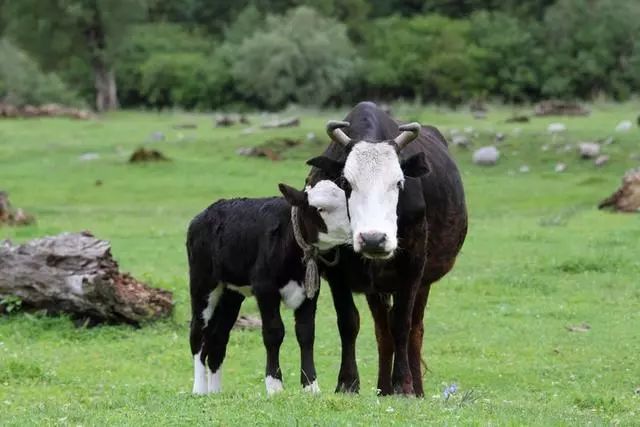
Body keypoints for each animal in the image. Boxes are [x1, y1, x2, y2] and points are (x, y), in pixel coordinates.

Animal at [188, 180, 352, 394]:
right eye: (320, 209)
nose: (355, 230)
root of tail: (206, 213)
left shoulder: (310, 291)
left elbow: (306, 333)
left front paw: (311, 386)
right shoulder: (265, 289)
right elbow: (274, 333)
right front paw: (274, 386)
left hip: (231, 293)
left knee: (218, 338)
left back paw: (215, 392)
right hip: (203, 283)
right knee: (198, 332)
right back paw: (199, 389)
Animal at [304, 101, 464, 398]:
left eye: (399, 183)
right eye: (345, 183)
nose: (373, 240)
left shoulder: (412, 267)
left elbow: (402, 323)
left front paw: (404, 384)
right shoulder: (336, 272)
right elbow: (349, 322)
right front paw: (347, 382)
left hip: (423, 282)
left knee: (414, 329)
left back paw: (415, 388)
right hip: (376, 288)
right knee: (382, 330)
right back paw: (383, 387)